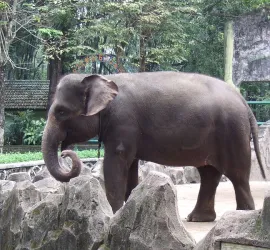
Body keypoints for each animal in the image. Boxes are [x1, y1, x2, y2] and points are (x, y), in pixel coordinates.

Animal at [42, 71, 266, 222]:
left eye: (61, 112)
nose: (65, 153)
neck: (104, 79)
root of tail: (243, 101)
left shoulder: (122, 122)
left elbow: (116, 162)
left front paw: (113, 215)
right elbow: (130, 167)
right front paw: (126, 210)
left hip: (232, 132)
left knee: (237, 175)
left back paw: (242, 215)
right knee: (209, 173)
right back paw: (197, 218)